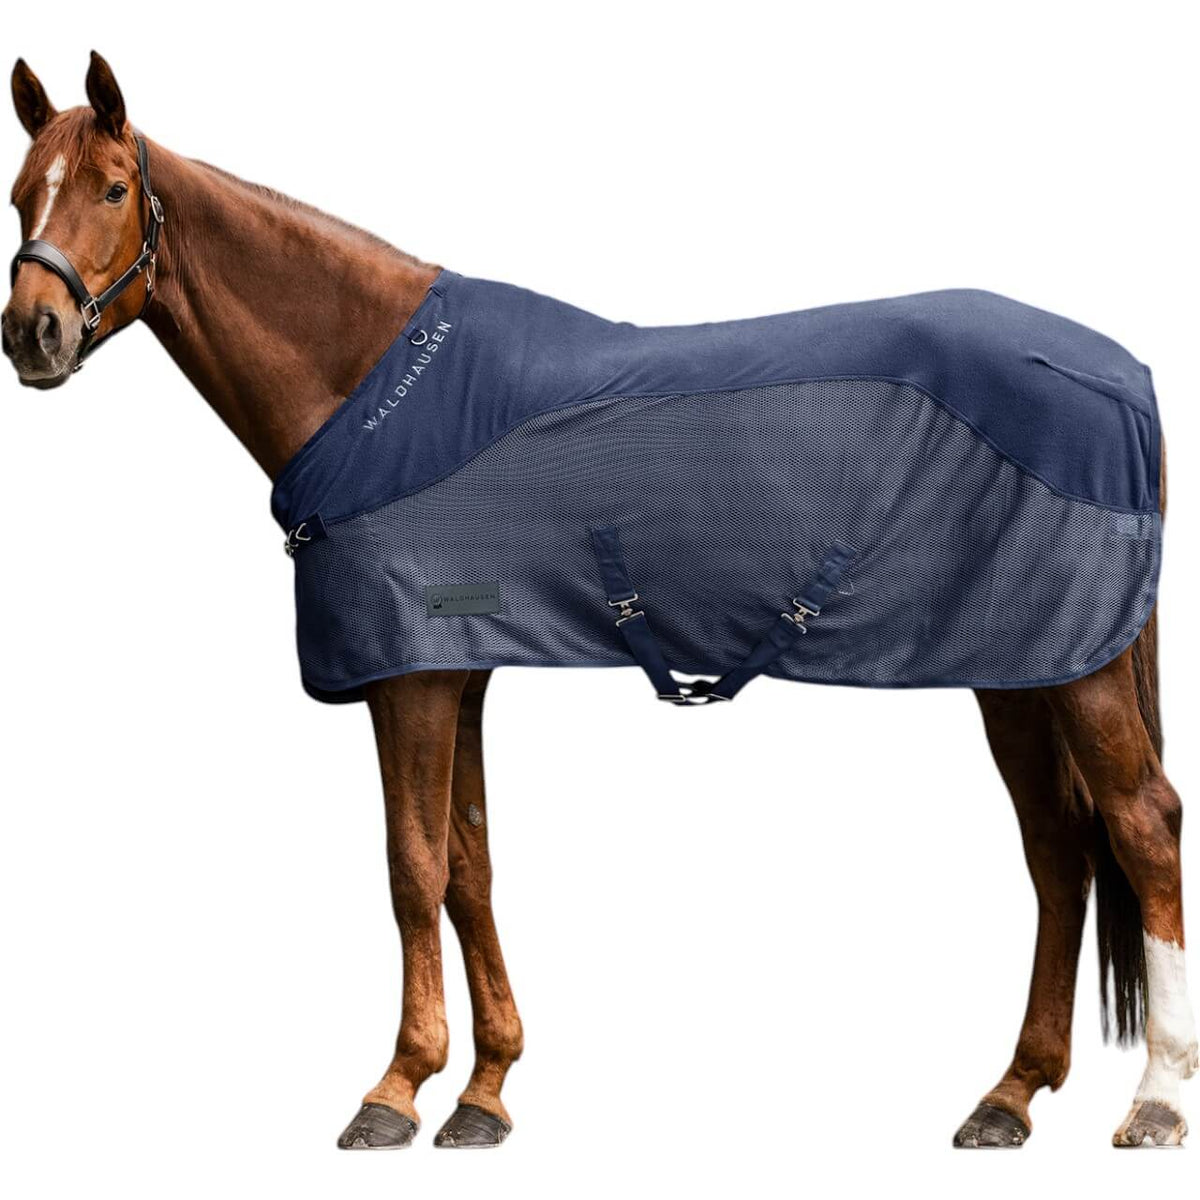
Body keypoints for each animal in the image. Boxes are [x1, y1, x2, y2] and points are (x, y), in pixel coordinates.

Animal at [4, 52, 1196, 1151]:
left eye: (111, 187)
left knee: (1142, 827)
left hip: (1077, 672)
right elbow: (471, 866)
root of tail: (1123, 374)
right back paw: (1009, 1096)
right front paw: (485, 1091)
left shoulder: (409, 677)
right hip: (1018, 670)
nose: (32, 335)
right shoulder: (459, 672)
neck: (374, 393)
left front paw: (397, 1088)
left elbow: (411, 868)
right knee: (1059, 853)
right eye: (21, 194)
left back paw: (1156, 1101)